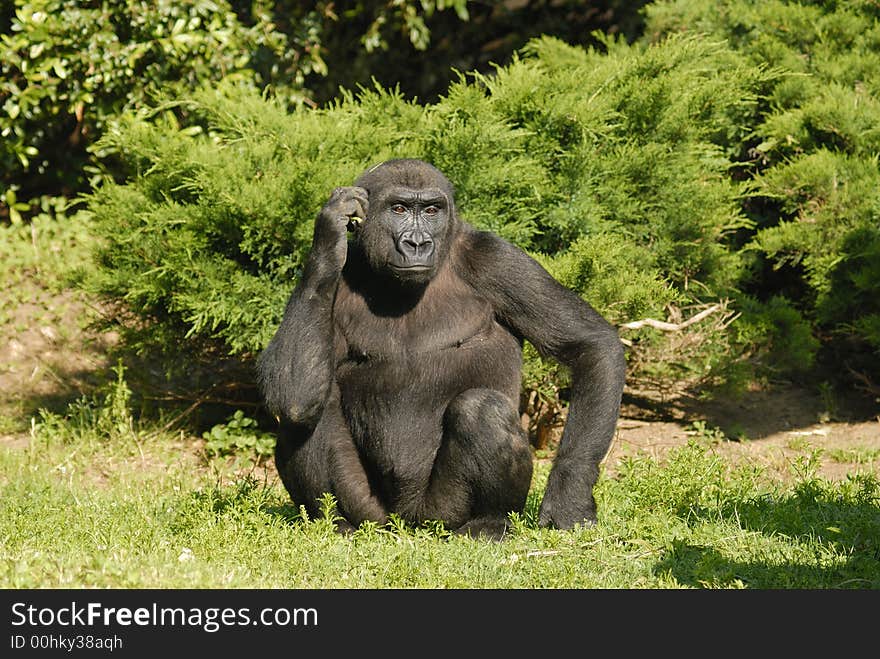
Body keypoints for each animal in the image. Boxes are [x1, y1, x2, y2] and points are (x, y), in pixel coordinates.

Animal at [258, 160, 628, 540]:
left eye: (431, 210)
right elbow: (290, 393)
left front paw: (570, 496)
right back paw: (336, 522)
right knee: (304, 412)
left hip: (442, 514)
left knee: (483, 410)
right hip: (375, 516)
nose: (417, 243)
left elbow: (590, 345)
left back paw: (490, 520)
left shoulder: (496, 259)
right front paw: (331, 231)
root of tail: (408, 522)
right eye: (399, 209)